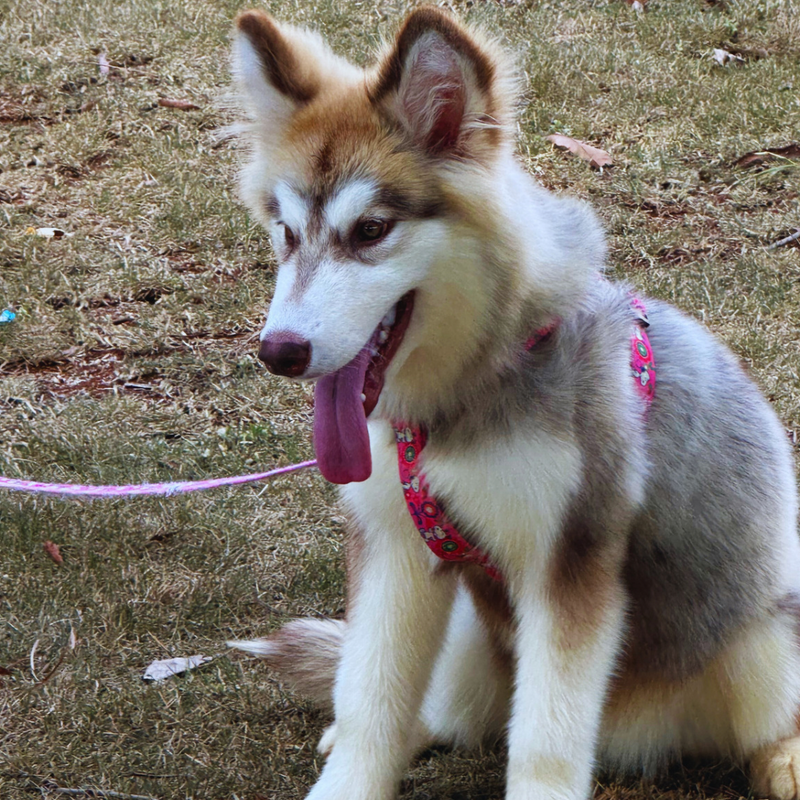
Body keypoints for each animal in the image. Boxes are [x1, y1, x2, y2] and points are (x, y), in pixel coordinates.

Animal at [227, 7, 800, 800]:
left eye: (370, 230)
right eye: (285, 233)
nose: (279, 351)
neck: (461, 398)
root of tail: (639, 737)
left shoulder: (570, 560)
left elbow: (545, 739)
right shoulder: (395, 547)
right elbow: (370, 694)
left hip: (764, 639)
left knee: (764, 717)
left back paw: (784, 761)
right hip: (470, 634)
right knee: (438, 708)